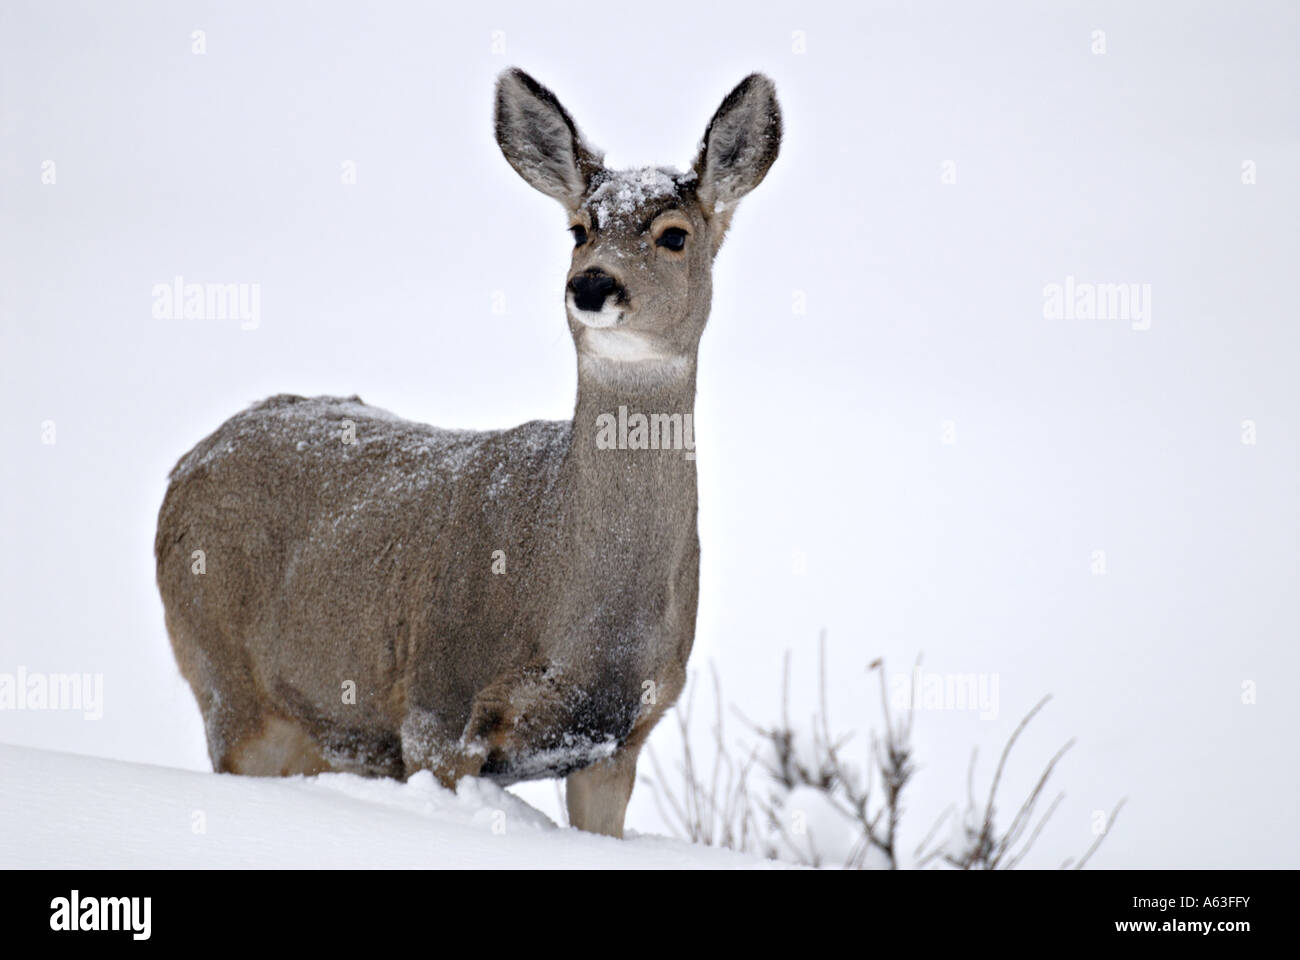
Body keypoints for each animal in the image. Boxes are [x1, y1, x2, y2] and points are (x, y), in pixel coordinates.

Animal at [154, 68, 781, 838]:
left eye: (673, 235)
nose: (591, 284)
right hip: (225, 679)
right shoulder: (438, 705)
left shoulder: (620, 736)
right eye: (579, 230)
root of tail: (185, 464)